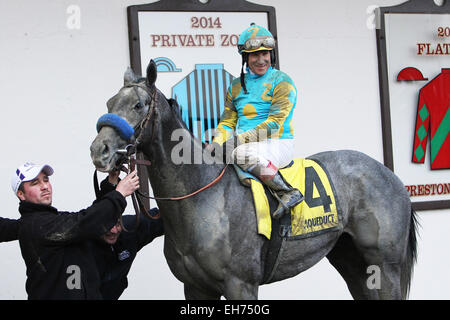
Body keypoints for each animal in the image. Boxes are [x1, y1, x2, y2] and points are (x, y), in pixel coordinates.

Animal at [90, 60, 418, 300]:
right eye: (109, 102)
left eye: (139, 105)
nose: (99, 150)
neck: (202, 198)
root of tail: (391, 175)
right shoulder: (195, 288)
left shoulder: (241, 284)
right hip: (351, 261)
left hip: (384, 264)